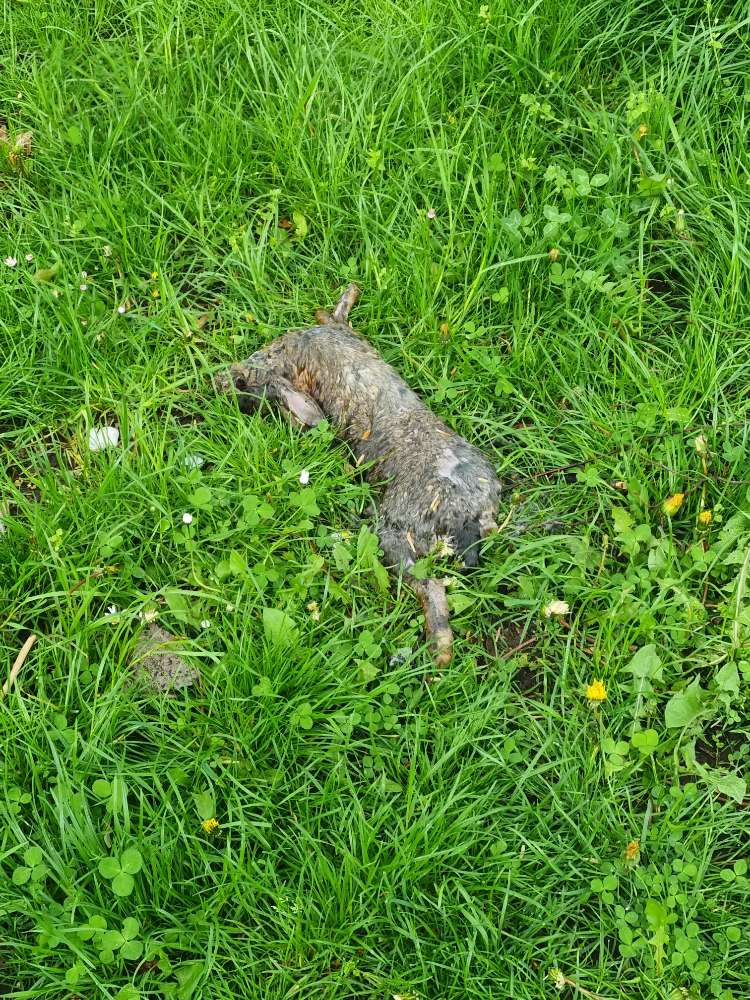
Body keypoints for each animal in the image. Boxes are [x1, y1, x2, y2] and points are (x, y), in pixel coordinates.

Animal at [215, 284, 501, 666]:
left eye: (242, 383)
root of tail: (468, 515)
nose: (220, 382)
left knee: (432, 588)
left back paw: (437, 652)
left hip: (396, 533)